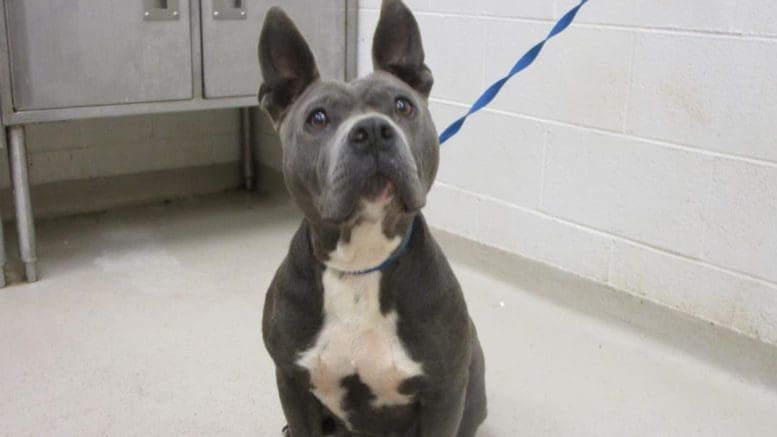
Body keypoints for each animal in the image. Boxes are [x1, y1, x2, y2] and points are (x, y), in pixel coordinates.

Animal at [260, 1, 484, 434]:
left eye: (401, 105)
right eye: (317, 118)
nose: (374, 130)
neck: (361, 264)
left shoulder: (445, 392)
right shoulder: (290, 381)